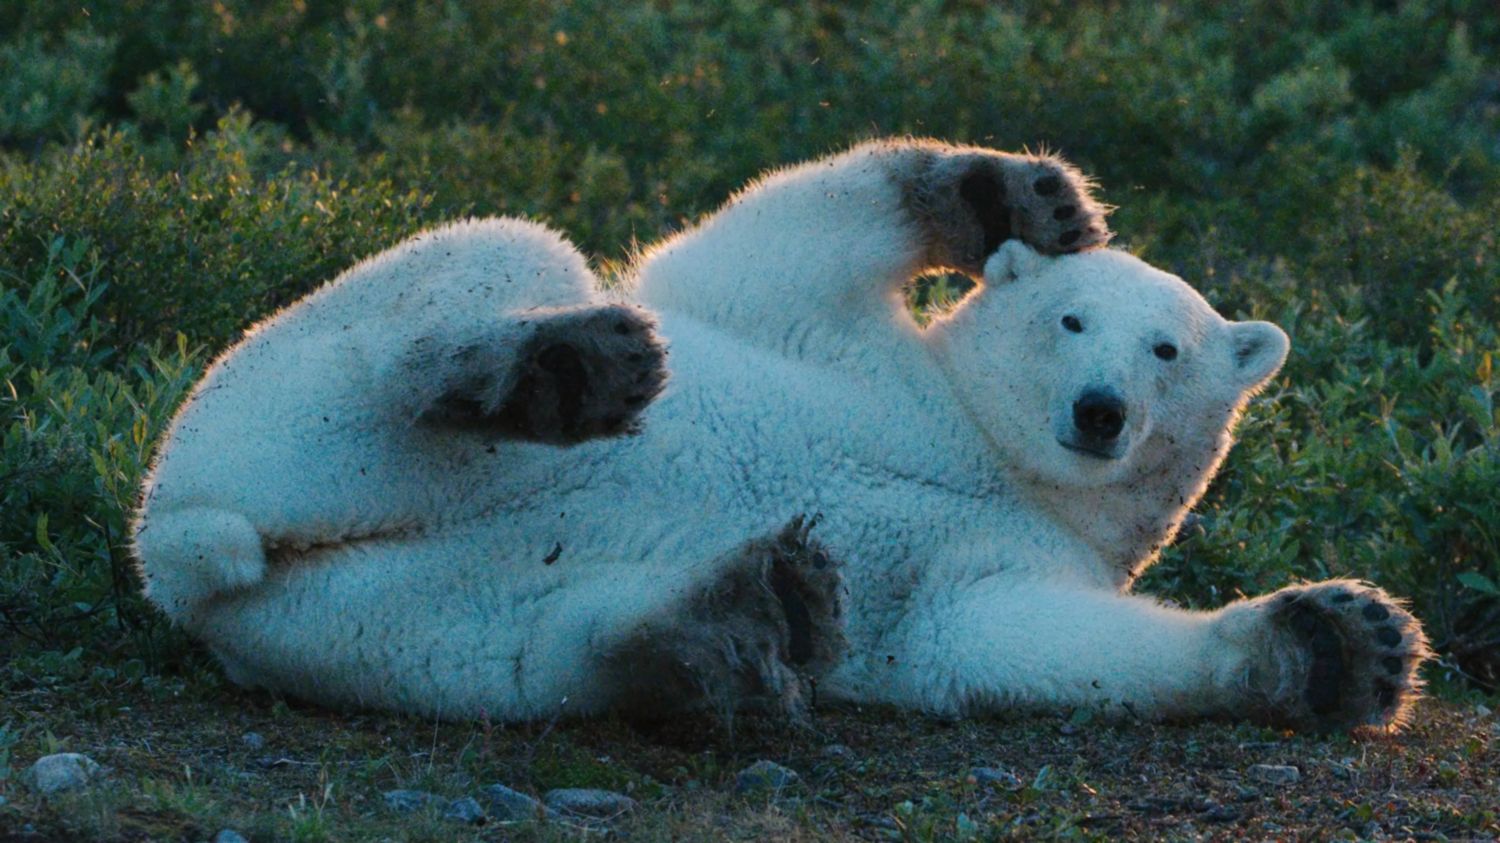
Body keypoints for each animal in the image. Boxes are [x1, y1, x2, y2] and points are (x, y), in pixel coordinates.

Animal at [133, 139, 1428, 732]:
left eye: (1166, 350)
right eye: (1070, 319)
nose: (1098, 412)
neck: (988, 451)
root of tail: (199, 544)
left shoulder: (1013, 555)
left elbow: (1012, 640)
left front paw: (1344, 646)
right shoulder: (850, 360)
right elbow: (773, 239)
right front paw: (1021, 197)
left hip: (390, 627)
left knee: (552, 643)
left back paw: (749, 618)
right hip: (278, 401)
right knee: (487, 267)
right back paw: (555, 376)